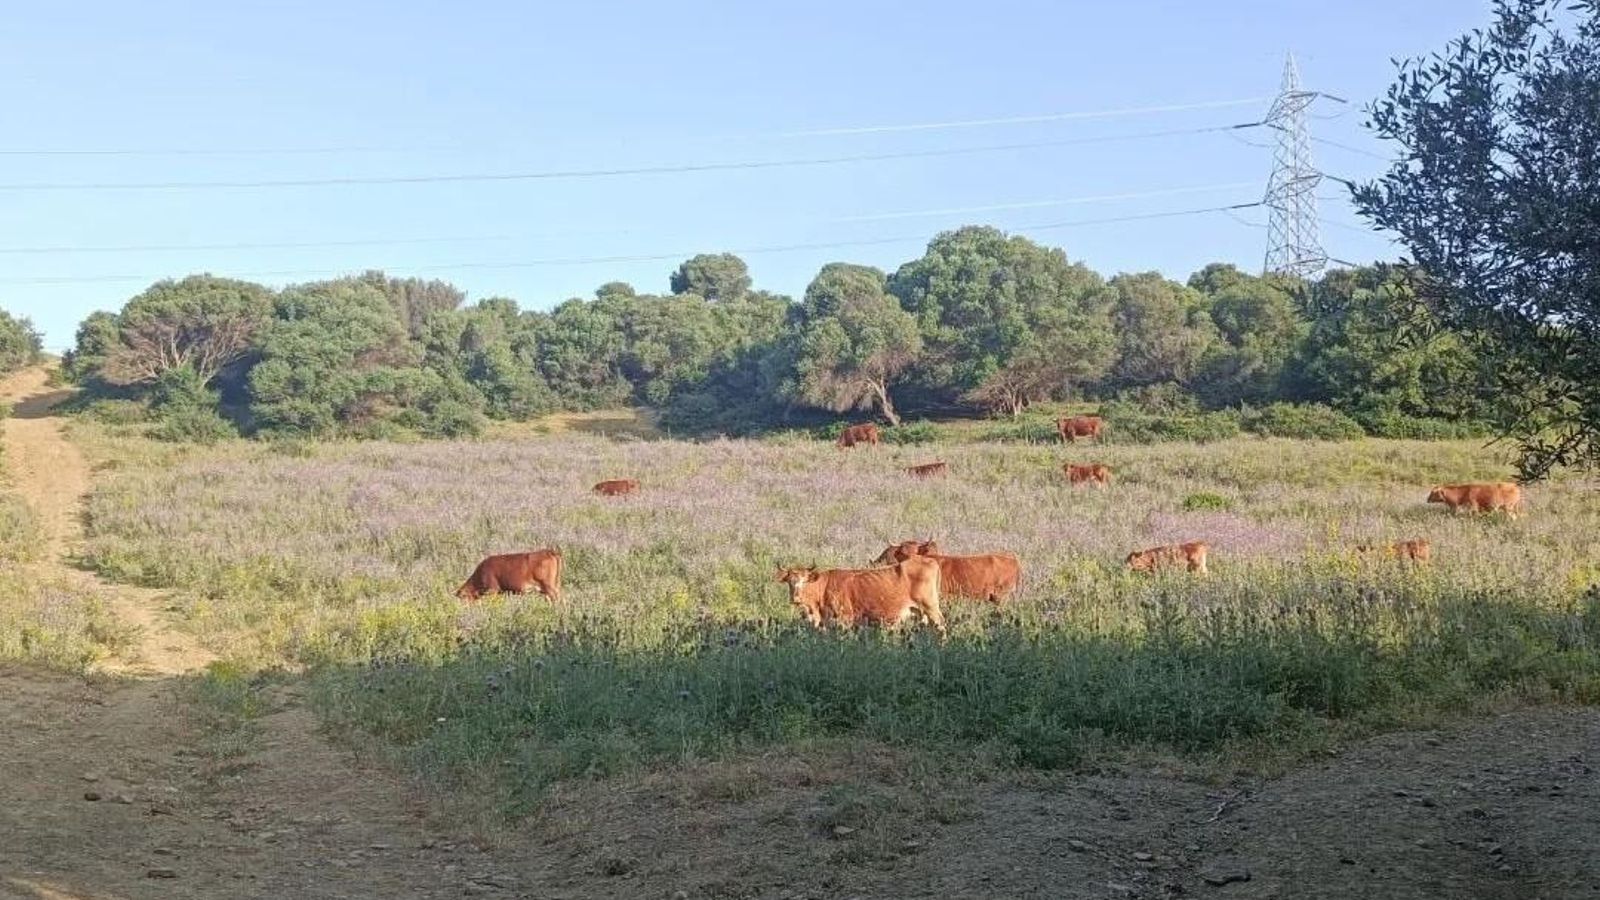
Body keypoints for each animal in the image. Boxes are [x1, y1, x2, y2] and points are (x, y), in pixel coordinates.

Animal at [776, 557, 945, 634]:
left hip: (931, 608)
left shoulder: (845, 620)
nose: (795, 598)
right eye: (790, 581)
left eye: (804, 581)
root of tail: (928, 560)